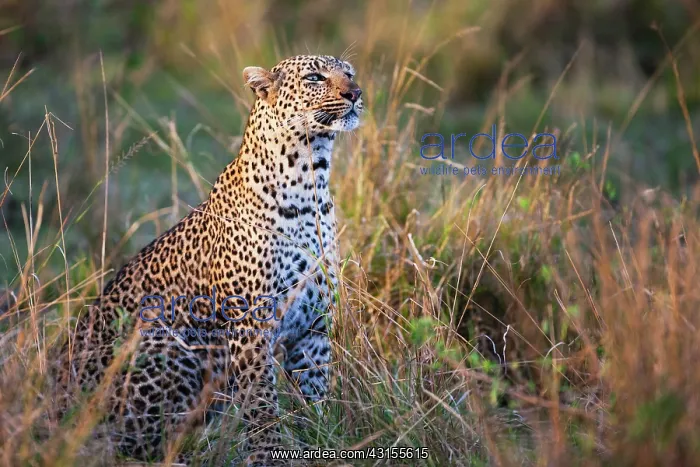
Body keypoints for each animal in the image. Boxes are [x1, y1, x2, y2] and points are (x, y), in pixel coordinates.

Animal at [54, 54, 363, 466]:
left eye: (349, 73)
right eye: (314, 77)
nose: (355, 93)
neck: (311, 180)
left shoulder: (313, 326)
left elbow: (314, 395)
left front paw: (320, 440)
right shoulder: (250, 325)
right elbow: (261, 401)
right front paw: (269, 454)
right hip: (167, 344)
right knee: (122, 442)